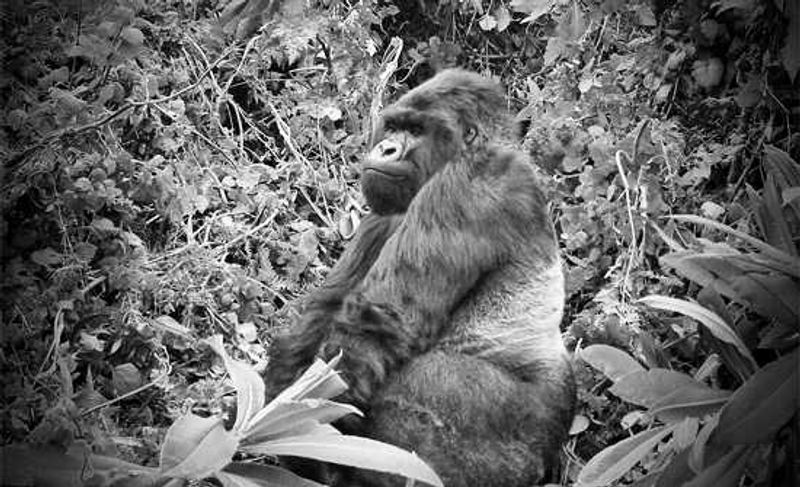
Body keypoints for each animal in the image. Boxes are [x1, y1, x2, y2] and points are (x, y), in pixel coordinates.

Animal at [263, 69, 575, 486]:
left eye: (416, 130)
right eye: (393, 127)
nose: (386, 149)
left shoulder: (469, 182)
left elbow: (376, 325)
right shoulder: (384, 209)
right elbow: (323, 313)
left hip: (519, 454)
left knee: (422, 385)